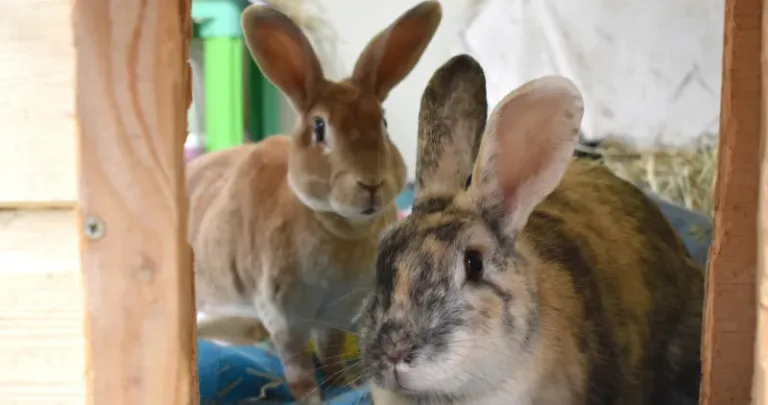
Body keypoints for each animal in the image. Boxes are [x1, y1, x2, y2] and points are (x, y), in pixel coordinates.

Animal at [186, 2, 443, 403]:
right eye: (319, 128)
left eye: (383, 123)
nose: (371, 183)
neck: (339, 225)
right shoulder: (283, 315)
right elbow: (297, 365)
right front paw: (311, 397)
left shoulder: (335, 315)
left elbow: (332, 351)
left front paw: (345, 385)